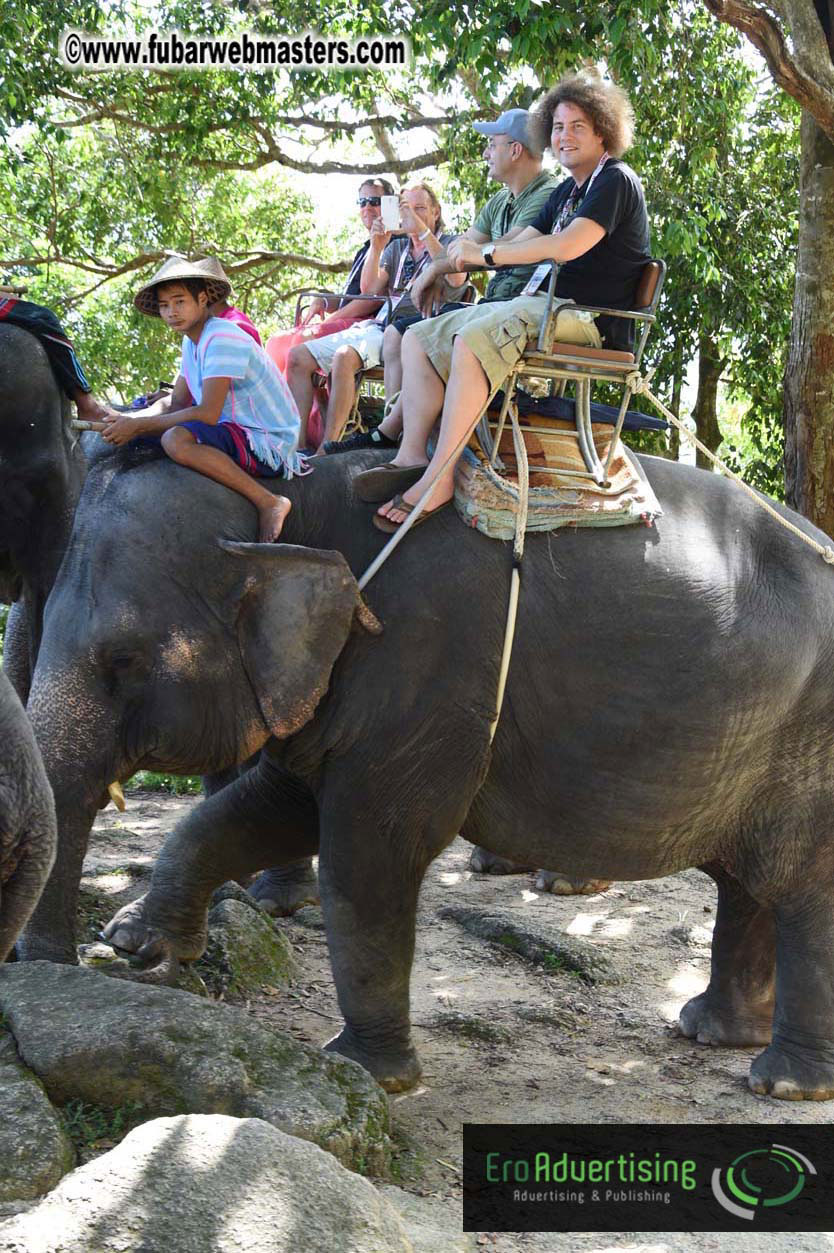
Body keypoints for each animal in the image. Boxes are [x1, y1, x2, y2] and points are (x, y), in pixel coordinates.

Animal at [22, 435, 834, 1102]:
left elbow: (370, 852)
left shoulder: (424, 668)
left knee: (802, 891)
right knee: (747, 880)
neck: (300, 498)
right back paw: (711, 1032)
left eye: (124, 661)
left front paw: (367, 1073)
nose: (57, 971)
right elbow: (268, 808)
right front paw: (142, 944)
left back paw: (783, 1083)